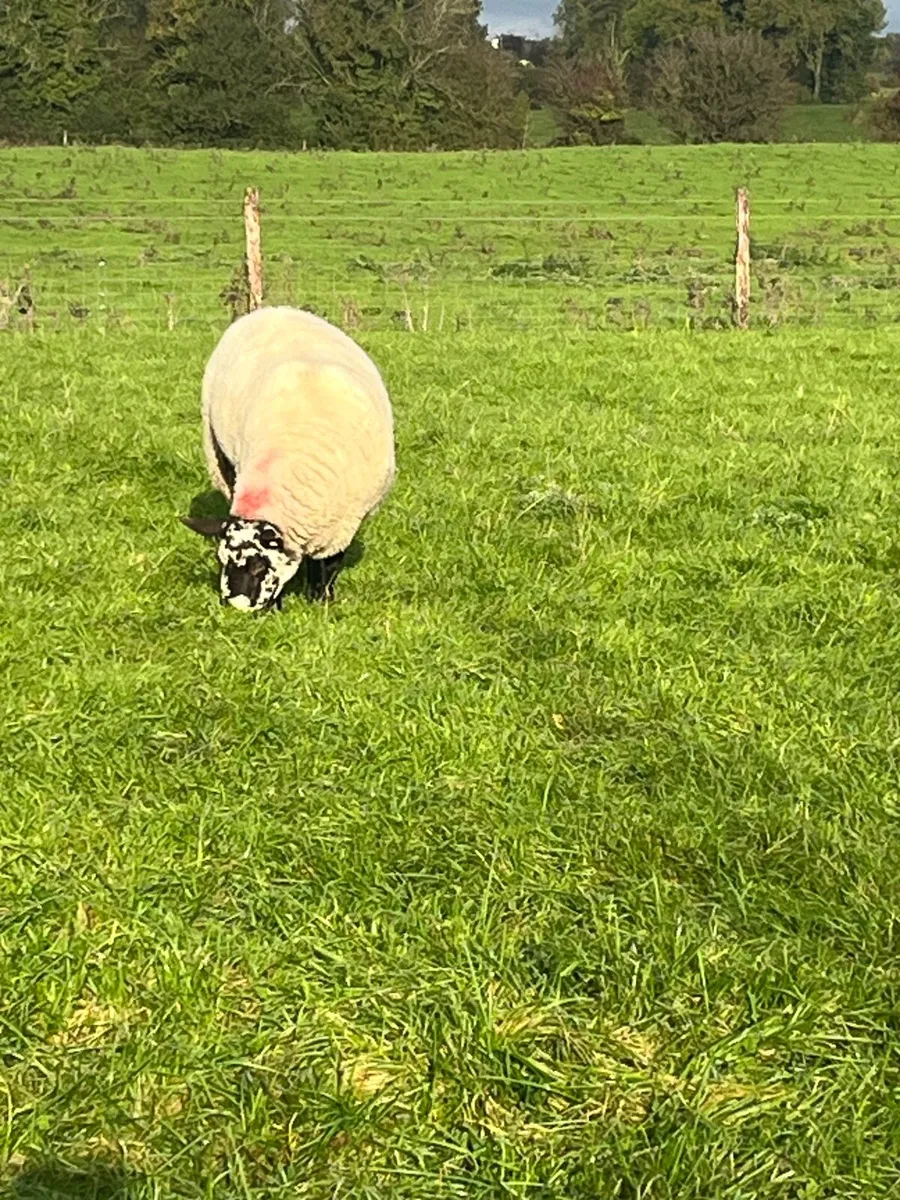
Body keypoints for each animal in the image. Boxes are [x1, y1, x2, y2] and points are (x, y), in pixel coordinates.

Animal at [181, 305, 395, 612]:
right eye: (221, 561)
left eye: (259, 567)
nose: (237, 608)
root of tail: (274, 309)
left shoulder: (343, 525)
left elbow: (328, 566)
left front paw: (320, 600)